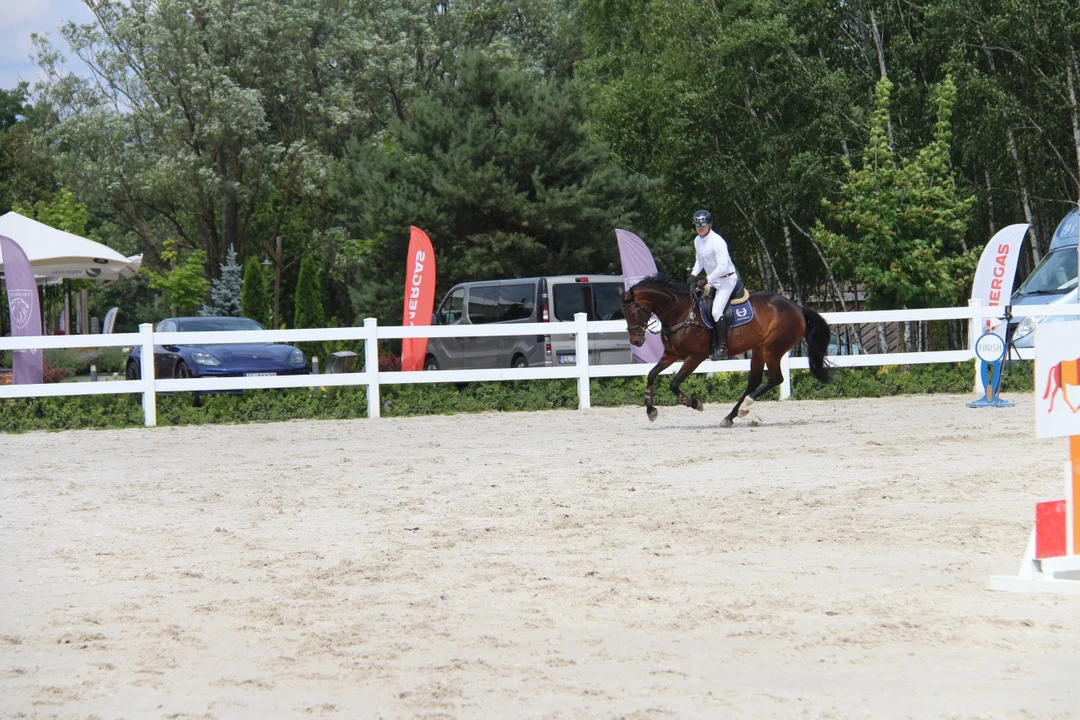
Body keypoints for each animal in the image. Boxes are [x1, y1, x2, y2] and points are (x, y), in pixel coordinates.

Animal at [617, 273, 833, 425]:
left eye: (633, 312)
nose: (636, 341)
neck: (682, 312)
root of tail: (797, 308)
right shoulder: (671, 355)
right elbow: (652, 374)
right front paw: (650, 410)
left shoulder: (695, 357)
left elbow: (674, 384)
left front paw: (695, 403)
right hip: (758, 350)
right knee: (754, 381)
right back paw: (731, 416)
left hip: (772, 349)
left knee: (775, 378)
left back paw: (744, 407)